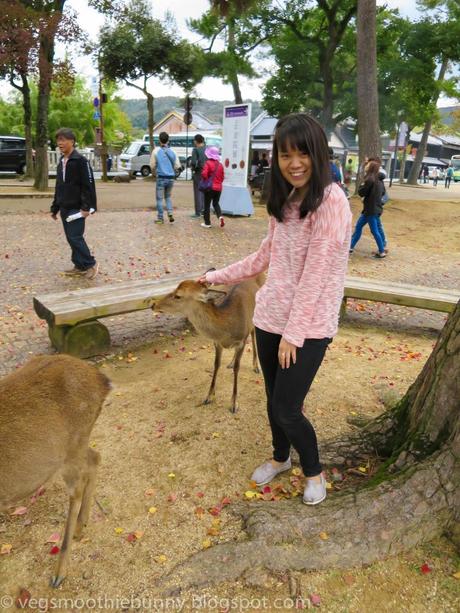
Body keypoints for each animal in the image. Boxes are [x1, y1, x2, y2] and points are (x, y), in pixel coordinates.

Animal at [0, 356, 111, 584]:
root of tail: (103, 381)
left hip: (71, 446)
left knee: (77, 489)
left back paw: (59, 572)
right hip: (76, 446)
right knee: (95, 457)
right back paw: (80, 528)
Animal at [153, 274, 264, 414]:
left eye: (178, 296)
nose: (153, 304)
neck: (226, 328)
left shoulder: (241, 340)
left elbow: (237, 368)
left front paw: (234, 403)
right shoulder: (217, 343)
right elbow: (216, 365)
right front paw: (209, 396)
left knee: (253, 334)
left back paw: (256, 366)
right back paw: (231, 362)